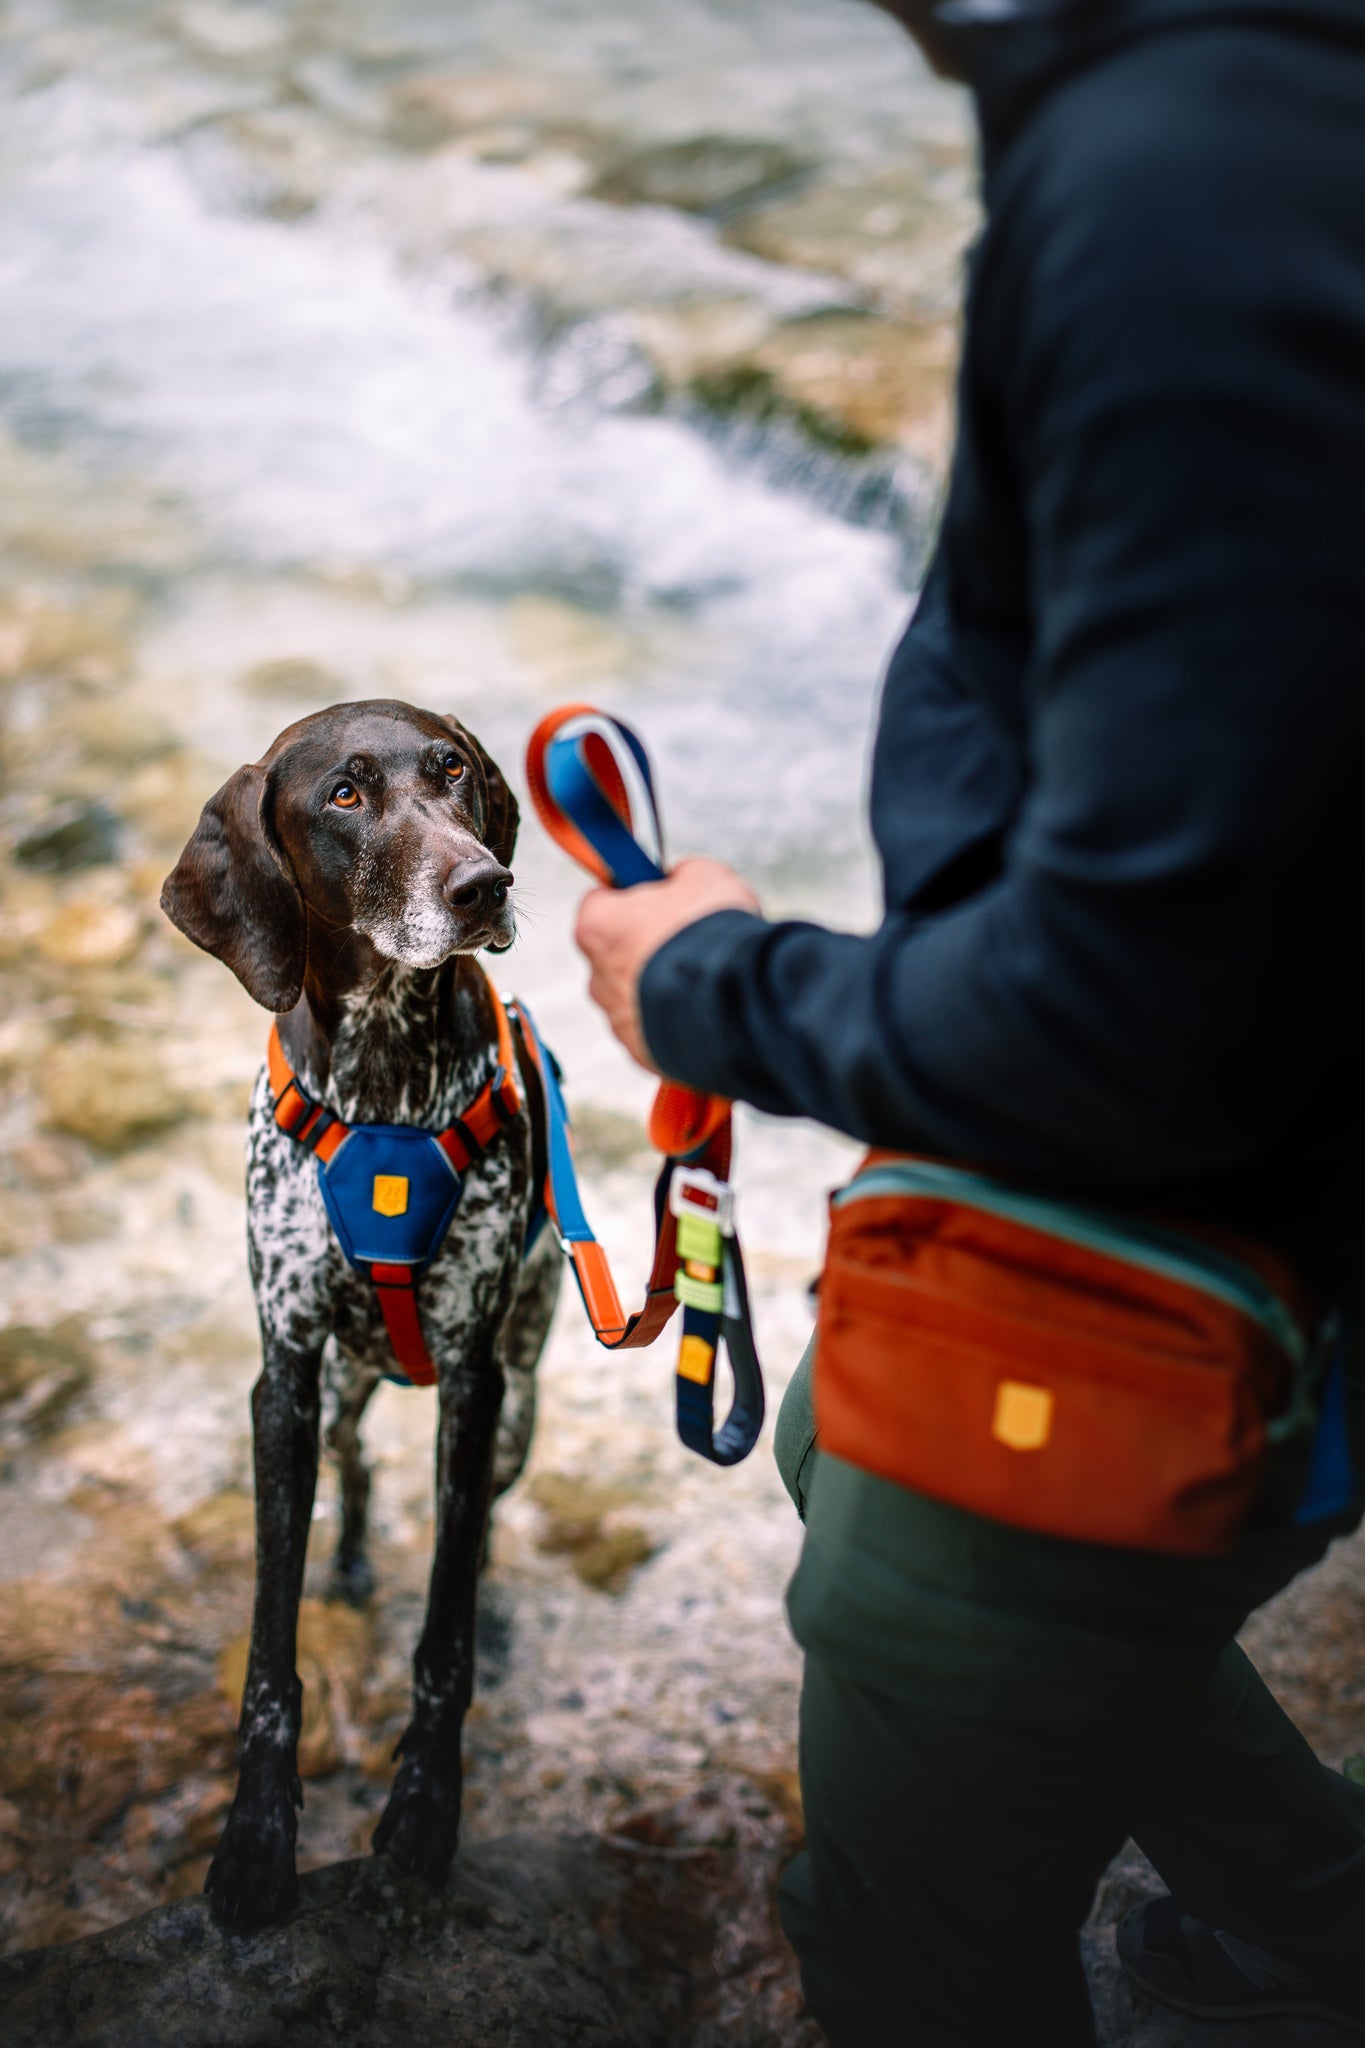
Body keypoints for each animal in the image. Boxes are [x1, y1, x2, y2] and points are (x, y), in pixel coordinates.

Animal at [161, 700, 560, 1916]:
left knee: (471, 1528)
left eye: (454, 771)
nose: (484, 883)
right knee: (361, 1466)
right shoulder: (284, 1380)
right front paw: (256, 1832)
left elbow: (444, 1638)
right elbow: (269, 1647)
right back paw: (347, 1563)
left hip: (519, 1404)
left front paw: (426, 1806)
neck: (385, 1079)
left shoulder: (475, 1383)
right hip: (339, 1393)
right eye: (344, 793)